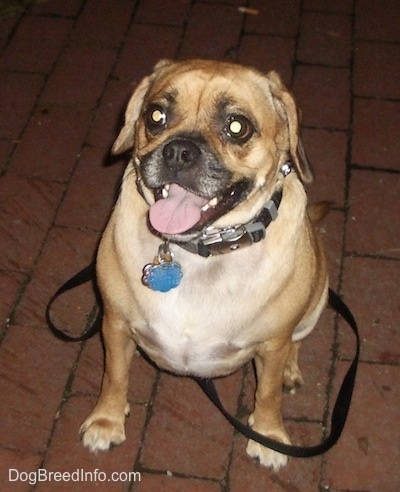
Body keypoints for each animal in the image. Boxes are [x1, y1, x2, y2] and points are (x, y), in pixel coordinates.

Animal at [79, 59, 328, 470]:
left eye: (237, 127)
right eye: (156, 115)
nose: (178, 152)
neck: (198, 250)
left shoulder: (272, 344)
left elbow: (269, 393)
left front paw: (270, 436)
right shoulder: (115, 324)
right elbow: (114, 376)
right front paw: (107, 420)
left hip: (315, 303)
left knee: (296, 345)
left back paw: (290, 372)